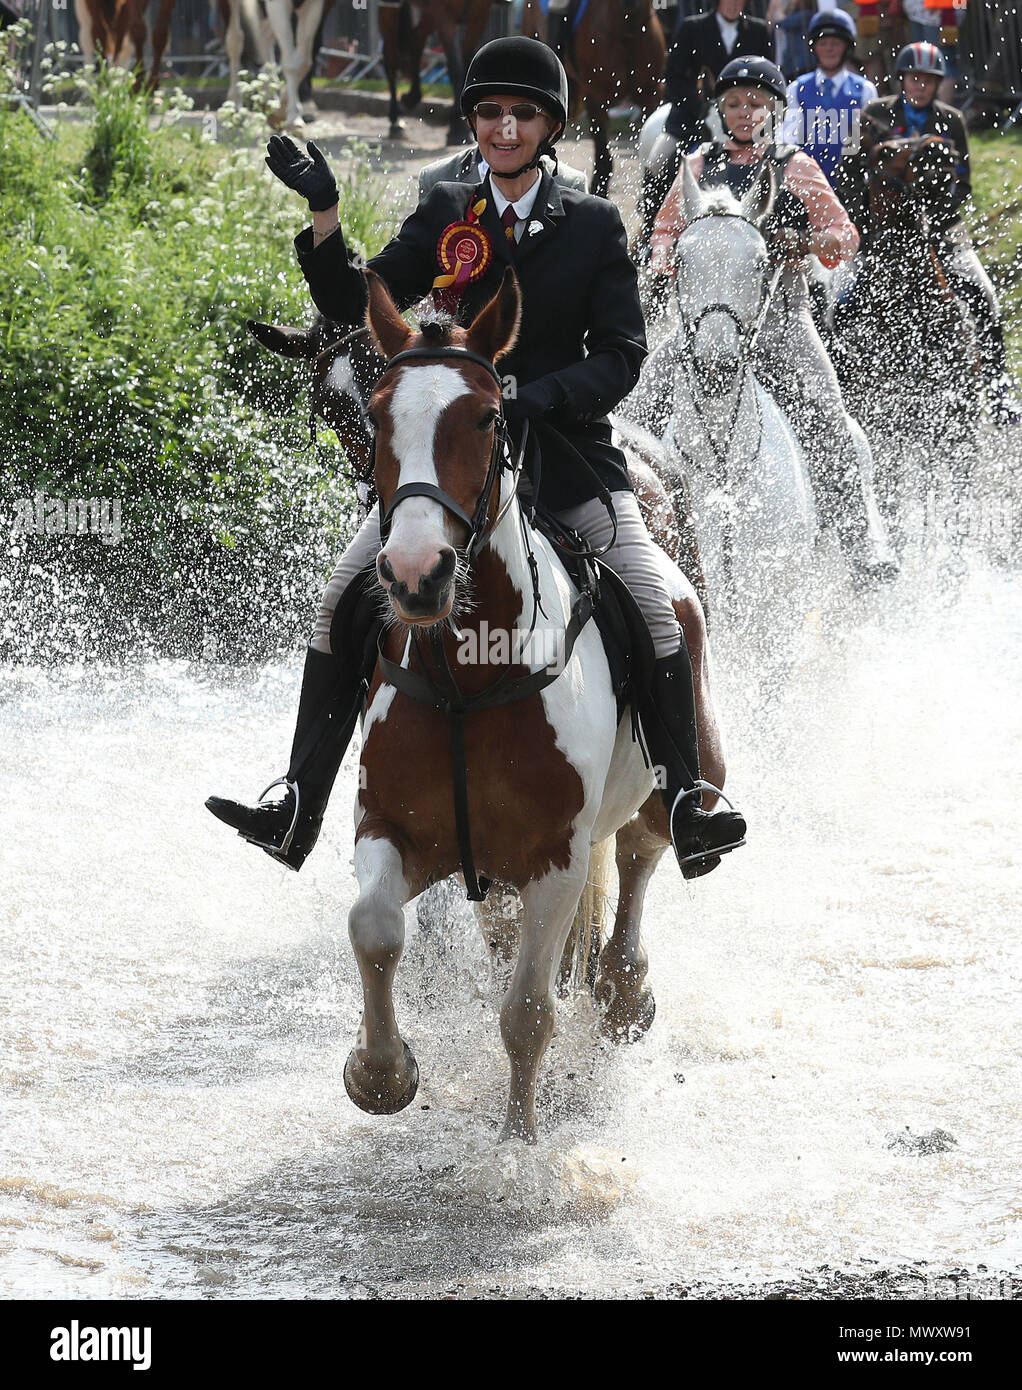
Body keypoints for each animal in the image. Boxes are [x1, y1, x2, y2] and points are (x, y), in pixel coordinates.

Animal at [333, 268, 717, 1139]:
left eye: (486, 415)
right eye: (377, 414)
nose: (415, 573)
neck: (466, 679)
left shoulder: (554, 861)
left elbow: (529, 1014)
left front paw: (517, 1146)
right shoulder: (393, 829)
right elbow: (375, 931)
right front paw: (381, 1073)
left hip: (668, 777)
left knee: (642, 853)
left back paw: (624, 992)